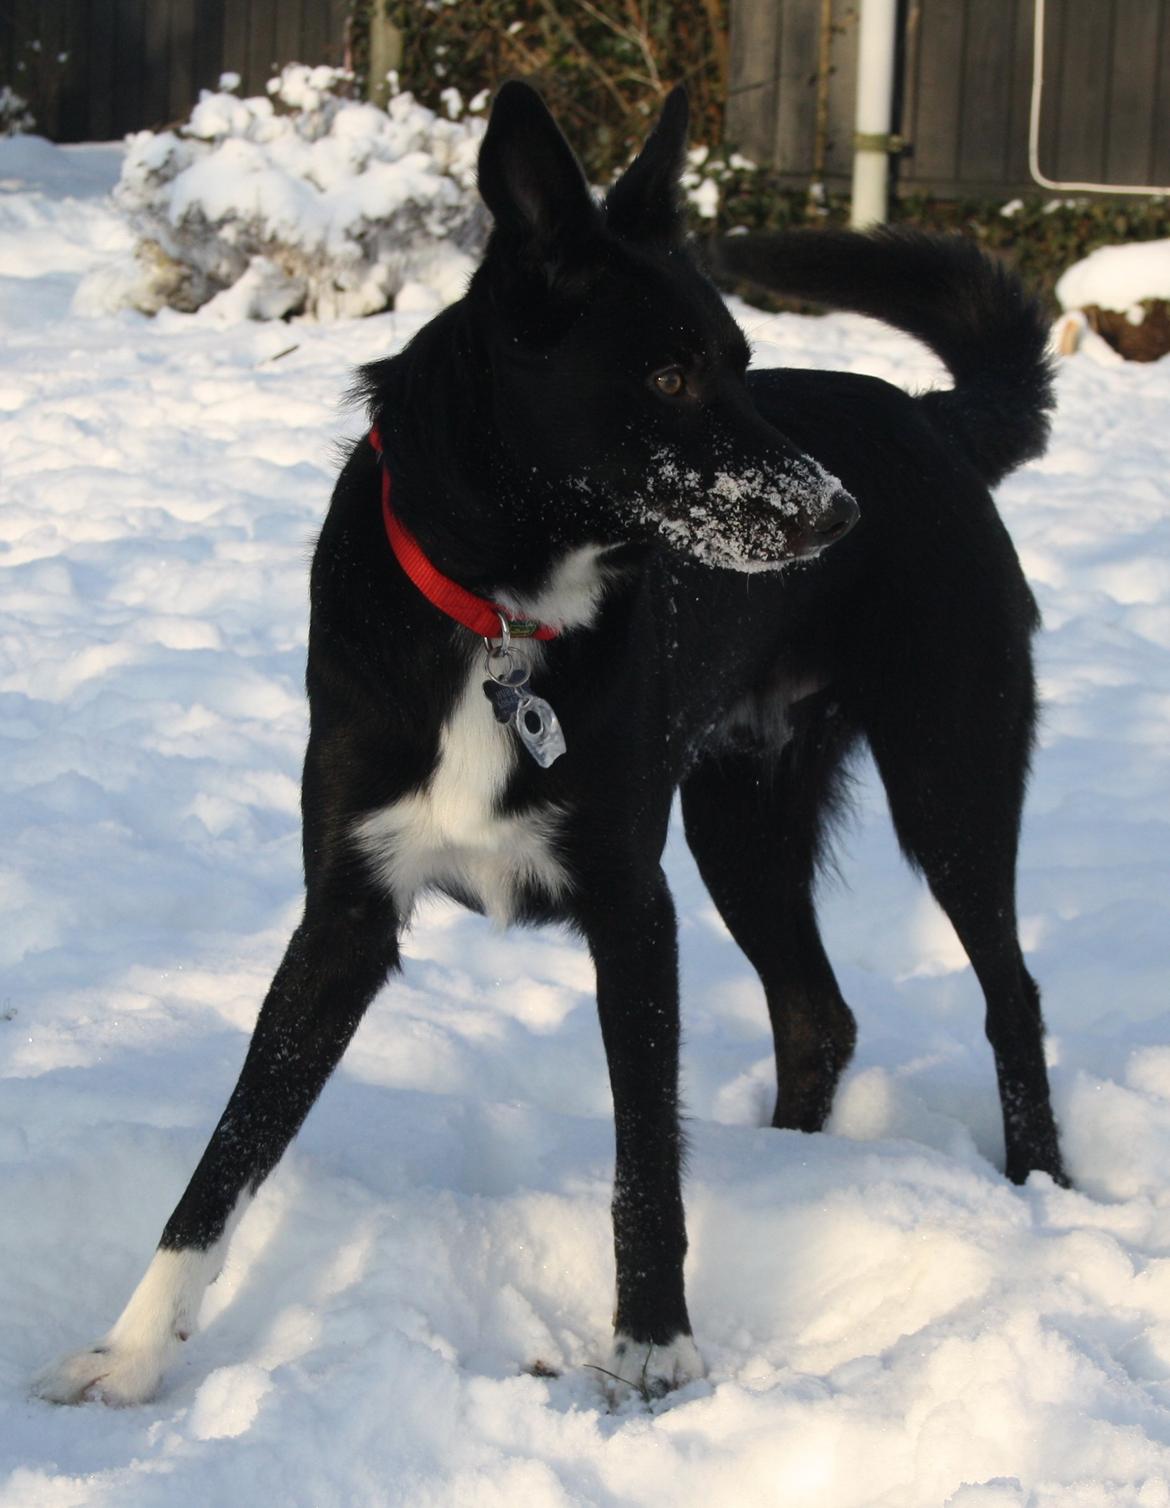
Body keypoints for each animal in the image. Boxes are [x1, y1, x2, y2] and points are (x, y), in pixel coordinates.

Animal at [34, 79, 1061, 1399]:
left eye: (742, 363)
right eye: (669, 375)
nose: (840, 513)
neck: (504, 617)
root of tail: (934, 423)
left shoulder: (633, 908)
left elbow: (644, 1165)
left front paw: (653, 1344)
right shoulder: (343, 917)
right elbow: (227, 1152)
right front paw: (127, 1355)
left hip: (949, 778)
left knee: (1010, 992)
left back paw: (1043, 1185)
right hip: (741, 820)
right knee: (815, 1011)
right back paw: (794, 1172)